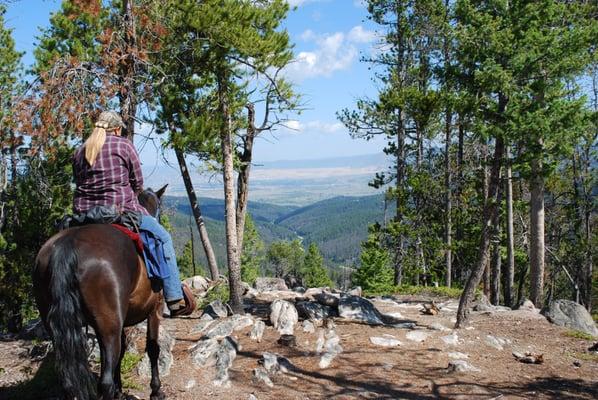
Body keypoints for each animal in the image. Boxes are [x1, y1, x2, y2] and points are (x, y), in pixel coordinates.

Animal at [33, 186, 169, 398]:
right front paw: (156, 390)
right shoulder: (155, 309)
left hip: (55, 319)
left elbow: (119, 353)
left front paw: (120, 389)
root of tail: (67, 245)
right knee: (104, 381)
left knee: (69, 381)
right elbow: (153, 348)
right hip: (109, 322)